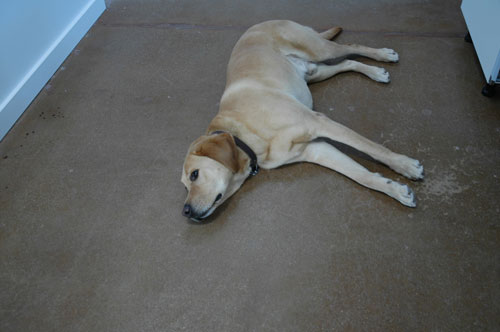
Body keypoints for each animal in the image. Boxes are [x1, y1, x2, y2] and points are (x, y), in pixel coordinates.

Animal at [182, 18, 424, 220]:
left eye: (194, 175)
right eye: (185, 186)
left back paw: (384, 55)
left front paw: (405, 165)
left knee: (352, 47)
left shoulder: (319, 122)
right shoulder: (316, 150)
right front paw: (395, 190)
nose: (185, 211)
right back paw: (375, 72)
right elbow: (360, 175)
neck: (247, 136)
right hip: (316, 72)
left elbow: (373, 148)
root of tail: (261, 22)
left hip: (319, 49)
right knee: (346, 63)